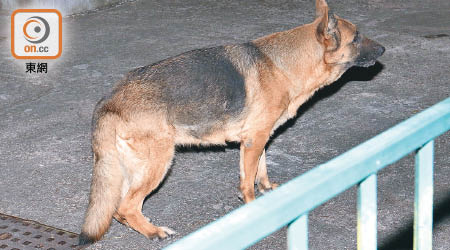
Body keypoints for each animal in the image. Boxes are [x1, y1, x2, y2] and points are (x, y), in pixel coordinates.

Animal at [79, 0, 384, 243]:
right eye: (356, 38)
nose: (383, 50)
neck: (285, 64)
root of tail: (110, 100)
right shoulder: (253, 141)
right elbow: (248, 182)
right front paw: (254, 209)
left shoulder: (258, 139)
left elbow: (261, 170)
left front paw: (269, 191)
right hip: (158, 162)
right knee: (126, 206)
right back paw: (153, 232)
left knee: (117, 208)